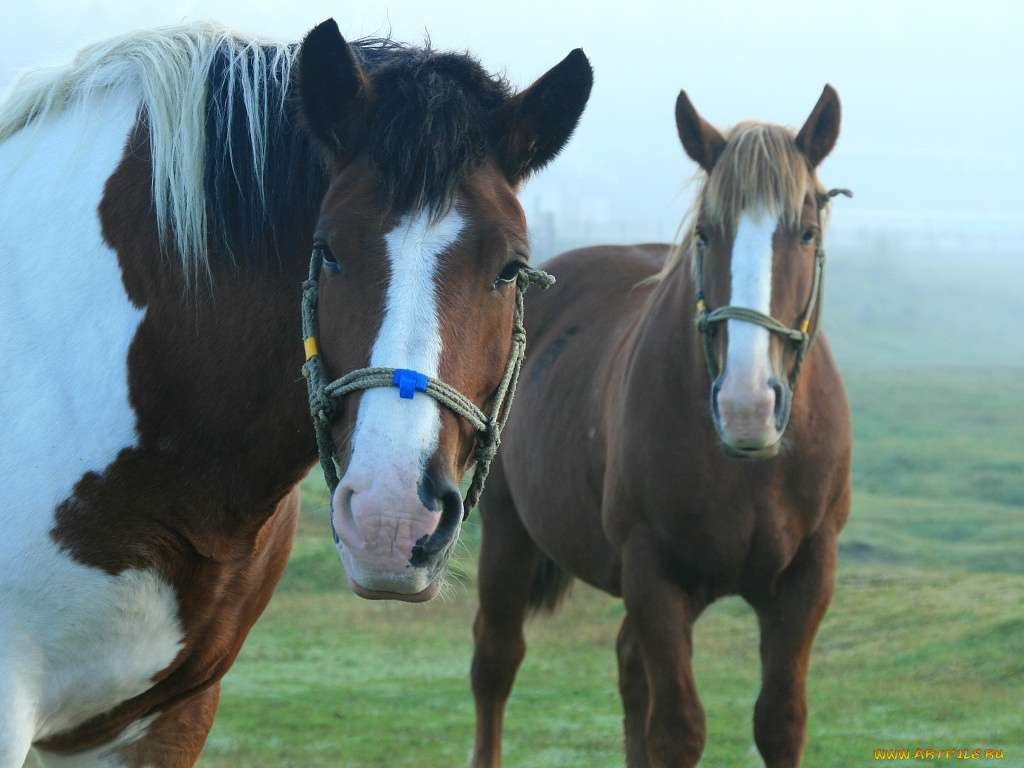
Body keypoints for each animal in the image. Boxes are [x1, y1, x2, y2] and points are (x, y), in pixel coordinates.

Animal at [473, 85, 856, 768]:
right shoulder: (653, 571)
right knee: (496, 663)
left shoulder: (809, 574)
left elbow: (780, 722)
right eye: (706, 233)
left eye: (807, 233)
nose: (747, 404)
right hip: (508, 532)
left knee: (629, 667)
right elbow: (678, 729)